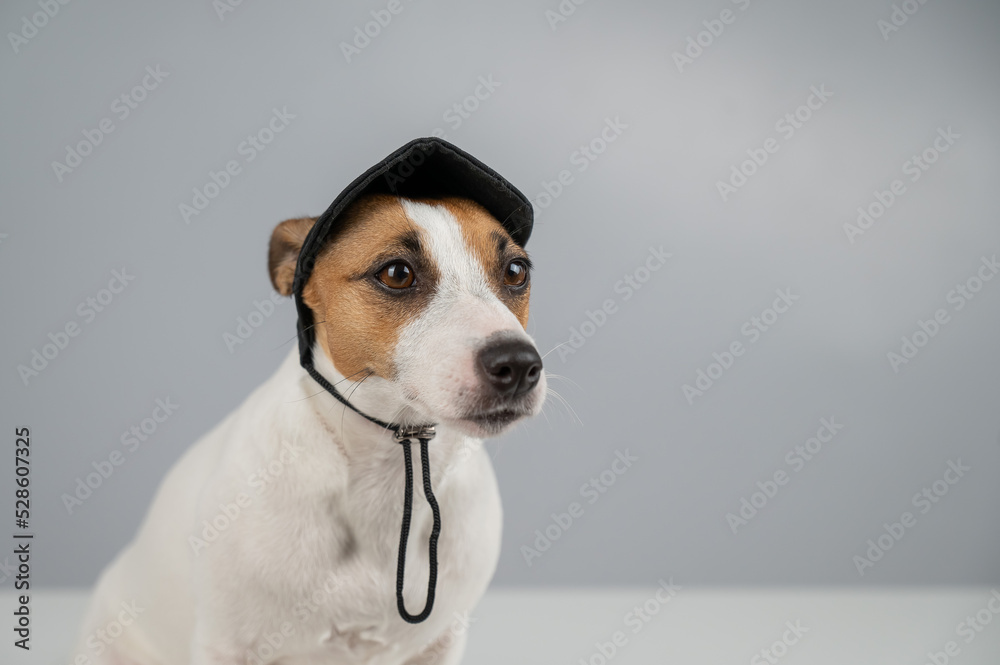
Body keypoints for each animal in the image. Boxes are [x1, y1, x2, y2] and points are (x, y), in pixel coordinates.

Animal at [75, 192, 548, 664]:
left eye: (515, 271)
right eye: (397, 273)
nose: (517, 364)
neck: (391, 471)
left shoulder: (441, 642)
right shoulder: (227, 645)